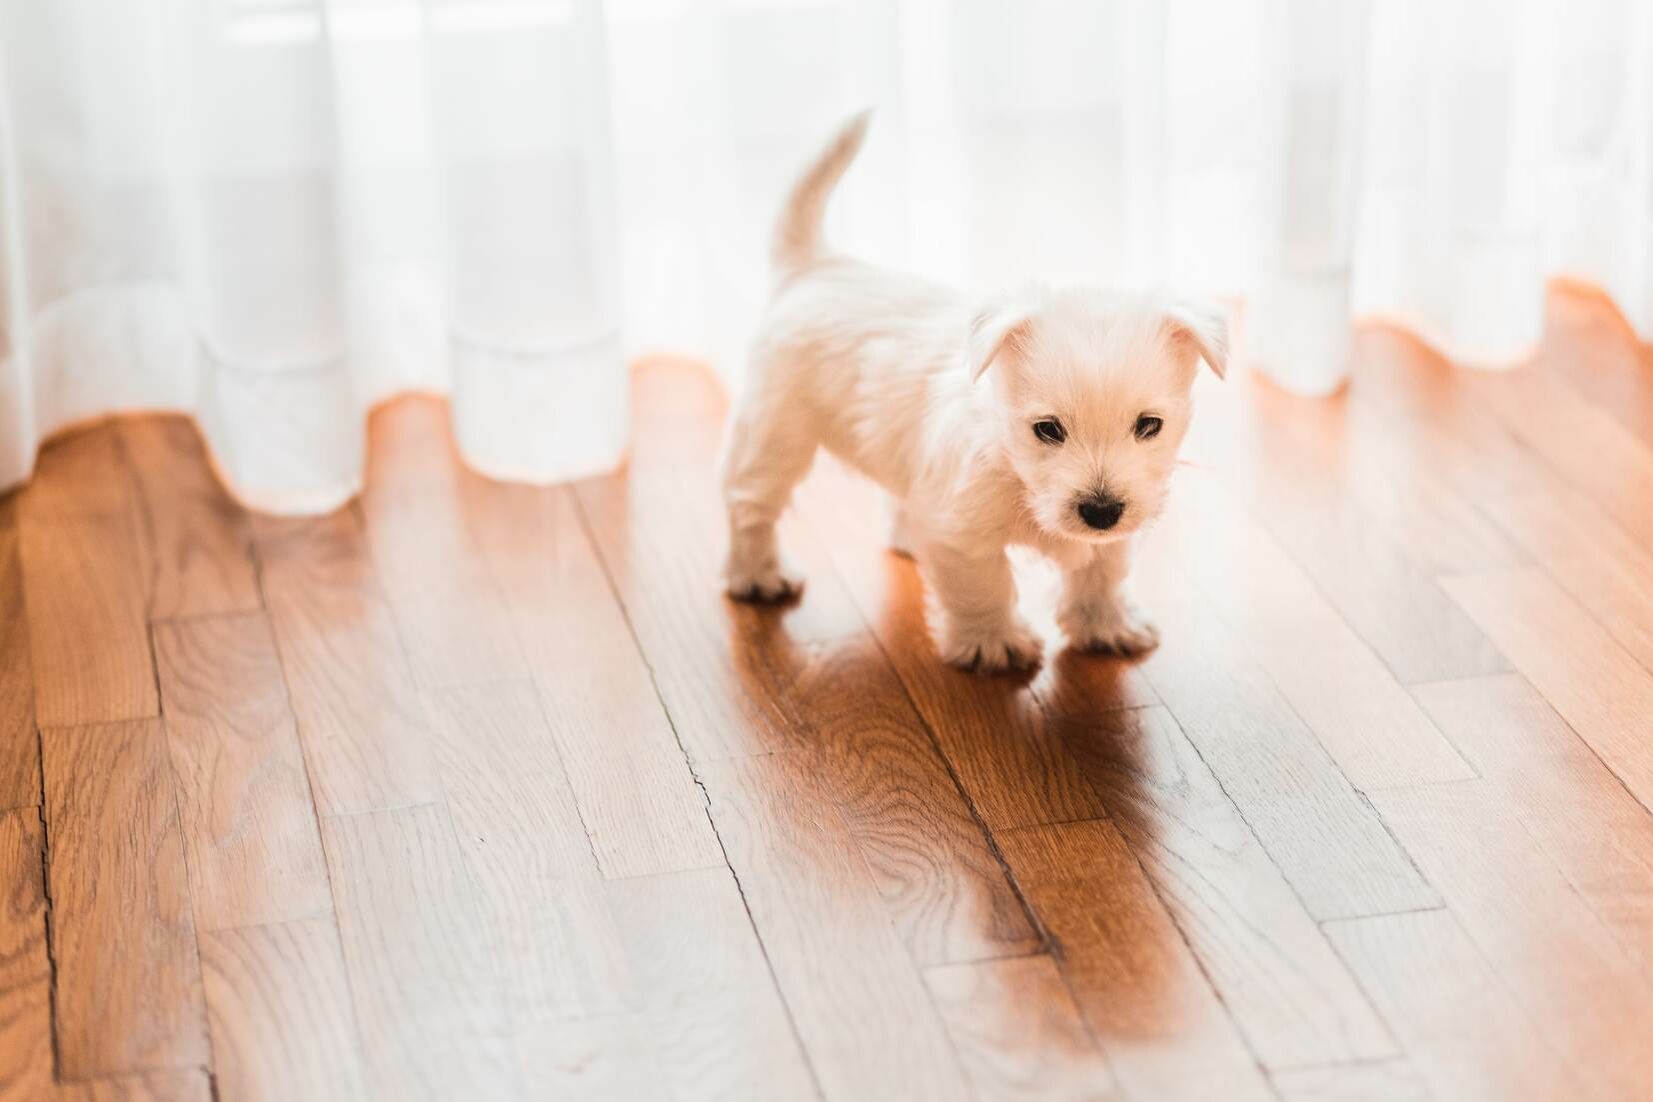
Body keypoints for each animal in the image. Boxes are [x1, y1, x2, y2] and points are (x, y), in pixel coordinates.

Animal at [717, 116, 1223, 677]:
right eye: (1047, 429)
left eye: (1149, 425)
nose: (1101, 511)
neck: (1015, 468)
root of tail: (817, 267)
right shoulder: (962, 532)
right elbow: (984, 585)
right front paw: (992, 644)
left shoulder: (1111, 528)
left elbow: (1102, 569)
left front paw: (1106, 624)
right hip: (775, 432)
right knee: (750, 505)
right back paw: (759, 576)